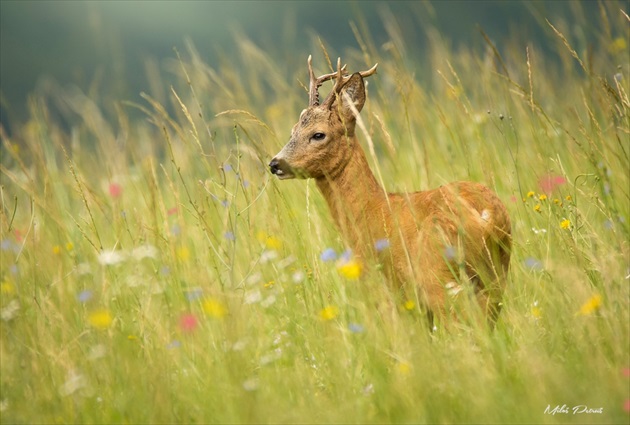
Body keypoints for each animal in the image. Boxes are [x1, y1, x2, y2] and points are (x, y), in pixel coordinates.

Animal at [268, 56, 512, 326]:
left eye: (318, 134)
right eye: (293, 130)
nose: (275, 163)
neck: (367, 210)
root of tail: (486, 216)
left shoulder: (379, 286)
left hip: (439, 277)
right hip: (496, 278)